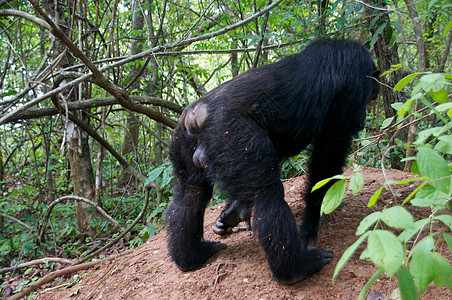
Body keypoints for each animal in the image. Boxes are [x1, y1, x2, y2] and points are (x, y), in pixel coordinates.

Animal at [164, 38, 380, 284]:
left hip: (183, 142)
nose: (363, 117)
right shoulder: (351, 85)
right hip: (233, 134)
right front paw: (312, 223)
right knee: (268, 195)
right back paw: (297, 268)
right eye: (369, 97)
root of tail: (197, 114)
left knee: (190, 194)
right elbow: (329, 152)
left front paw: (234, 212)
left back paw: (191, 256)